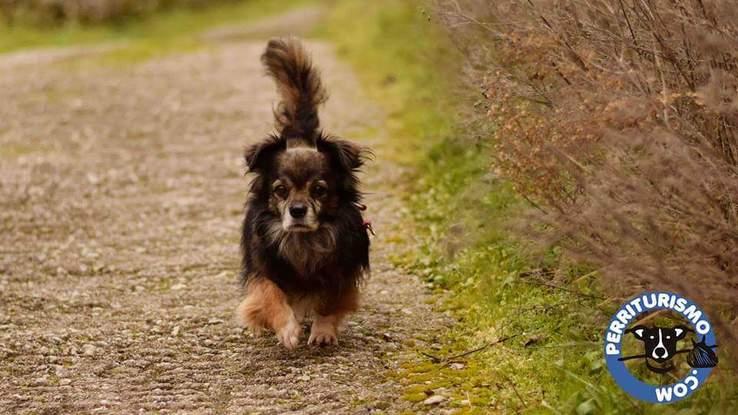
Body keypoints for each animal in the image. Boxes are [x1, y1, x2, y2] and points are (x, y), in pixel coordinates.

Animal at [236, 39, 368, 350]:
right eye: (280, 190)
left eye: (319, 190)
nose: (297, 210)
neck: (304, 241)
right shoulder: (262, 269)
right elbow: (270, 294)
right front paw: (286, 327)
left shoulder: (342, 271)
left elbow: (329, 302)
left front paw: (323, 331)